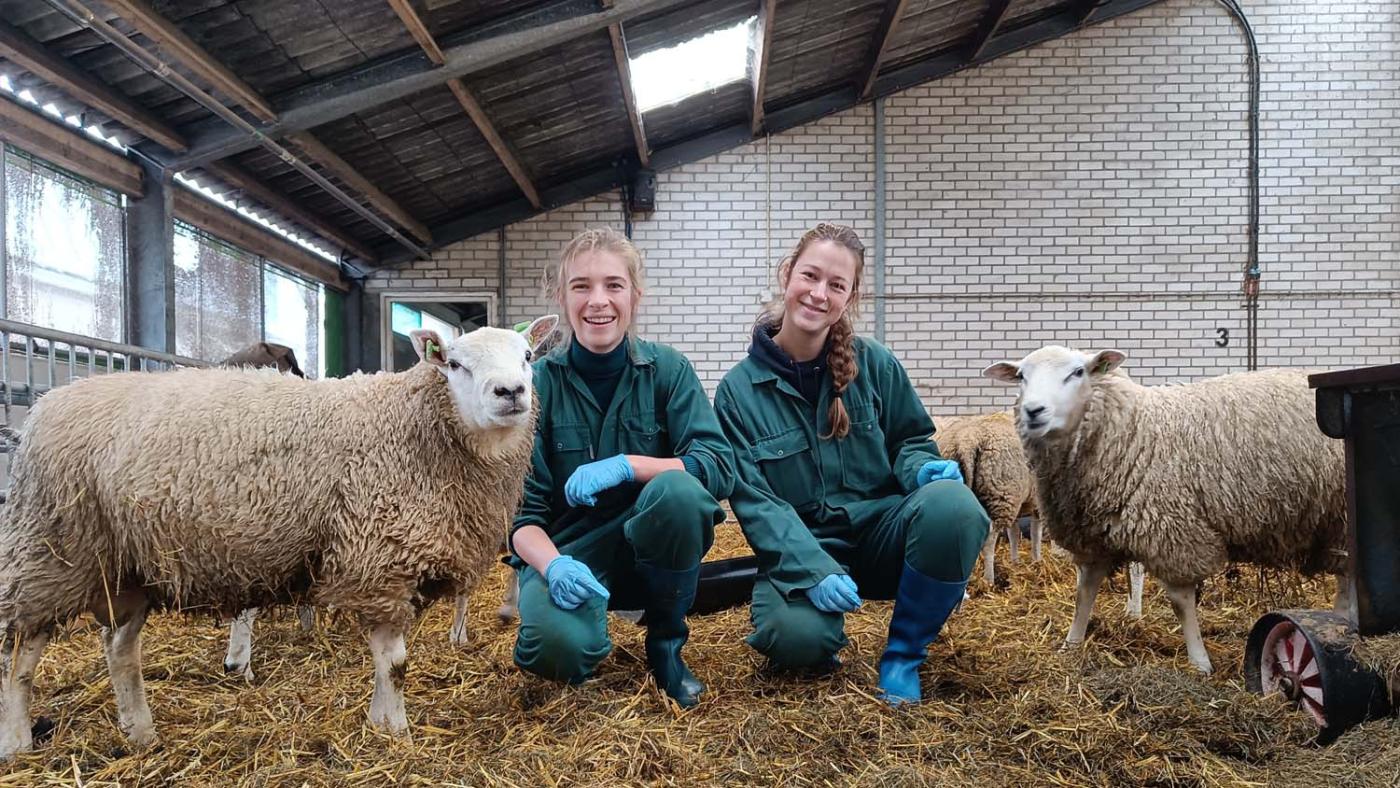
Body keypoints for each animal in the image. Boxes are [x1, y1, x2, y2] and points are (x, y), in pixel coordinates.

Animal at [0, 317, 551, 761]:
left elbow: (387, 661)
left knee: (119, 647)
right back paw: (18, 741)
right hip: (51, 548)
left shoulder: (393, 567)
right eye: (455, 363)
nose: (510, 391)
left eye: (527, 357)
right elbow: (396, 664)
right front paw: (397, 732)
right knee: (22, 650)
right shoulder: (377, 562)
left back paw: (140, 733)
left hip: (126, 564)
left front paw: (379, 721)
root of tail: (49, 402)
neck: (417, 427)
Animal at [980, 348, 1349, 674]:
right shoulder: (1095, 532)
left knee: (1347, 580)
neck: (1132, 433)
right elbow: (1085, 591)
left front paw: (1199, 661)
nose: (1033, 410)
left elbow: (1181, 603)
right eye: (1021, 376)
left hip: (1341, 518)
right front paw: (1071, 644)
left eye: (1078, 372)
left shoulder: (1172, 532)